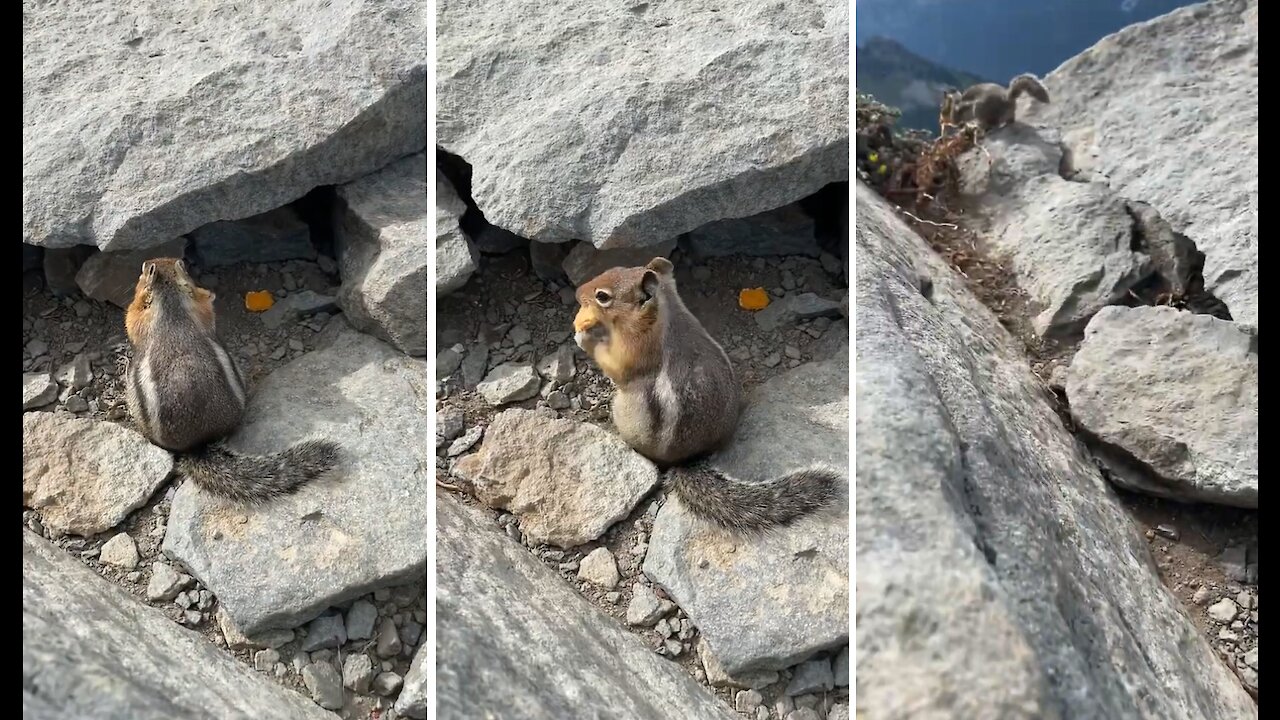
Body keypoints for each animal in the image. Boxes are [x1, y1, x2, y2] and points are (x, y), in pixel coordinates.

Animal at [120, 256, 337, 499]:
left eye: (143, 270)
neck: (170, 303)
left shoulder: (140, 316)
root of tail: (198, 443)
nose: (148, 261)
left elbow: (130, 318)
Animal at [573, 256, 834, 527]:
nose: (577, 292)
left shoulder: (634, 351)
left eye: (602, 296)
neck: (667, 313)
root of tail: (687, 459)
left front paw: (584, 337)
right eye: (612, 268)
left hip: (623, 411)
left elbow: (614, 367)